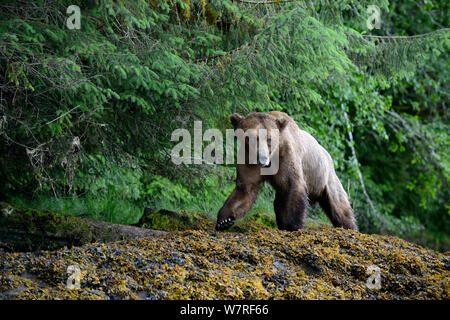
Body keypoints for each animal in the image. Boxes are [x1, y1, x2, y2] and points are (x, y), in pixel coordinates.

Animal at [215, 111, 358, 231]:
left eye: (269, 139)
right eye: (252, 138)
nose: (262, 159)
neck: (272, 157)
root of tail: (327, 154)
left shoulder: (287, 156)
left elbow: (293, 184)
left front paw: (292, 225)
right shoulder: (248, 160)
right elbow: (245, 188)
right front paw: (224, 220)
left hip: (324, 176)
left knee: (338, 204)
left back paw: (350, 227)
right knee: (279, 202)